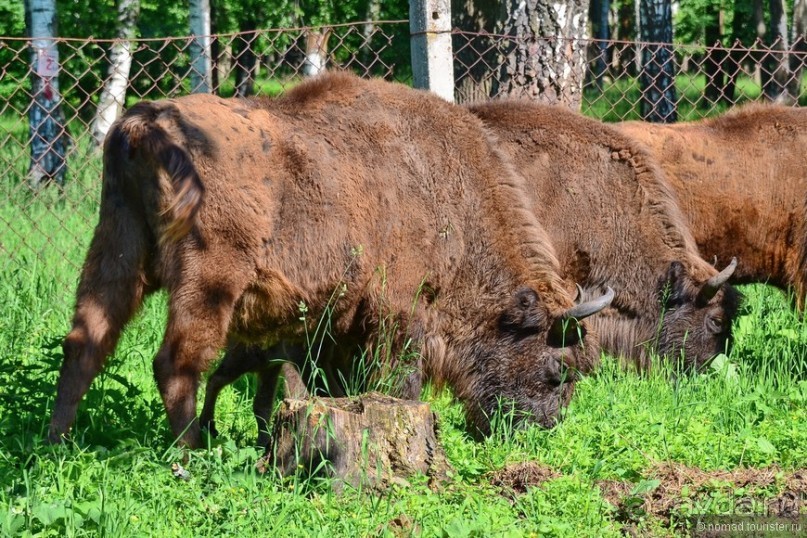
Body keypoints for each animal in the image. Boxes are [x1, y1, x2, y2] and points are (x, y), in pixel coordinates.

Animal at [50, 72, 612, 448]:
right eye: (558, 371)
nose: (538, 431)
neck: (445, 191)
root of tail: (144, 124)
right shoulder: (398, 312)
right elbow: (397, 380)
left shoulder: (333, 323)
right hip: (208, 279)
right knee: (176, 362)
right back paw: (191, 453)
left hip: (116, 249)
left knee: (84, 343)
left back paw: (55, 446)